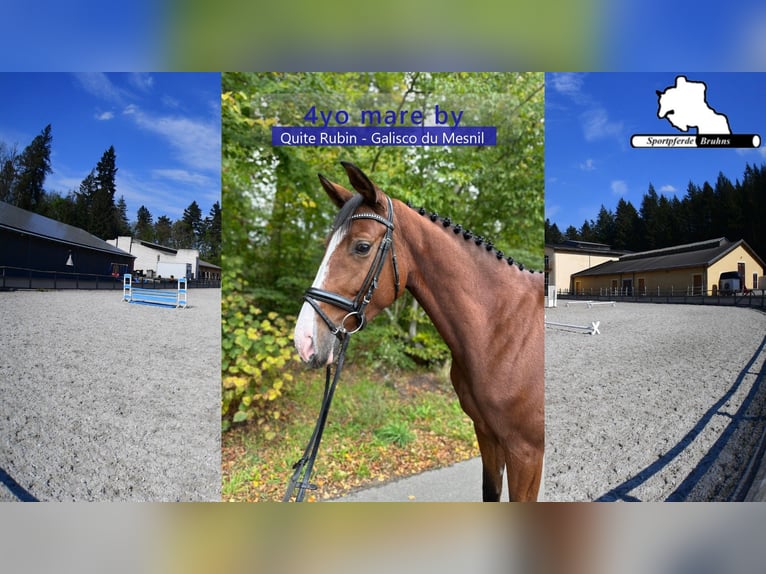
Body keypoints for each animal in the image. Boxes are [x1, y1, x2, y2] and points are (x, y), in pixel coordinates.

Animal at [293, 161, 544, 501]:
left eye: (362, 247)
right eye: (326, 245)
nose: (303, 341)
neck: (504, 328)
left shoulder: (526, 453)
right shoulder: (487, 435)